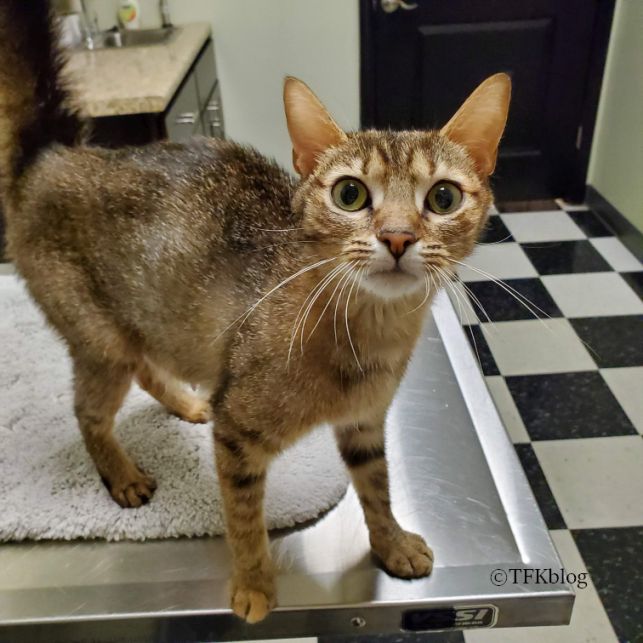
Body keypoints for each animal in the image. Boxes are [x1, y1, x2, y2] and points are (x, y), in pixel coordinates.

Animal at [0, 0, 510, 624]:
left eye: (443, 198)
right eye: (349, 194)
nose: (396, 237)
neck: (368, 340)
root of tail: (54, 156)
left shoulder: (366, 425)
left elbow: (378, 487)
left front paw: (391, 543)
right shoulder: (238, 433)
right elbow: (244, 518)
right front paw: (252, 584)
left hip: (140, 322)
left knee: (148, 366)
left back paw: (187, 403)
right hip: (100, 339)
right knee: (89, 411)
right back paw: (121, 474)